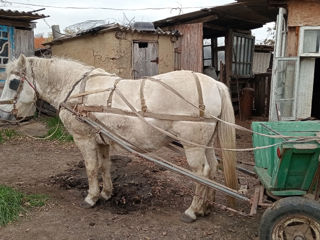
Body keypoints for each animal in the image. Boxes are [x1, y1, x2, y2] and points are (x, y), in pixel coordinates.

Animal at [0, 55, 238, 222]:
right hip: (205, 143)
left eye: (13, 83)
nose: (3, 115)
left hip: (192, 146)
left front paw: (91, 197)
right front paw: (106, 193)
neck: (76, 91)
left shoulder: (84, 138)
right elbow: (104, 166)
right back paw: (206, 207)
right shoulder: (102, 140)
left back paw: (192, 211)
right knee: (212, 169)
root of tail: (214, 84)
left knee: (201, 173)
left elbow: (91, 168)